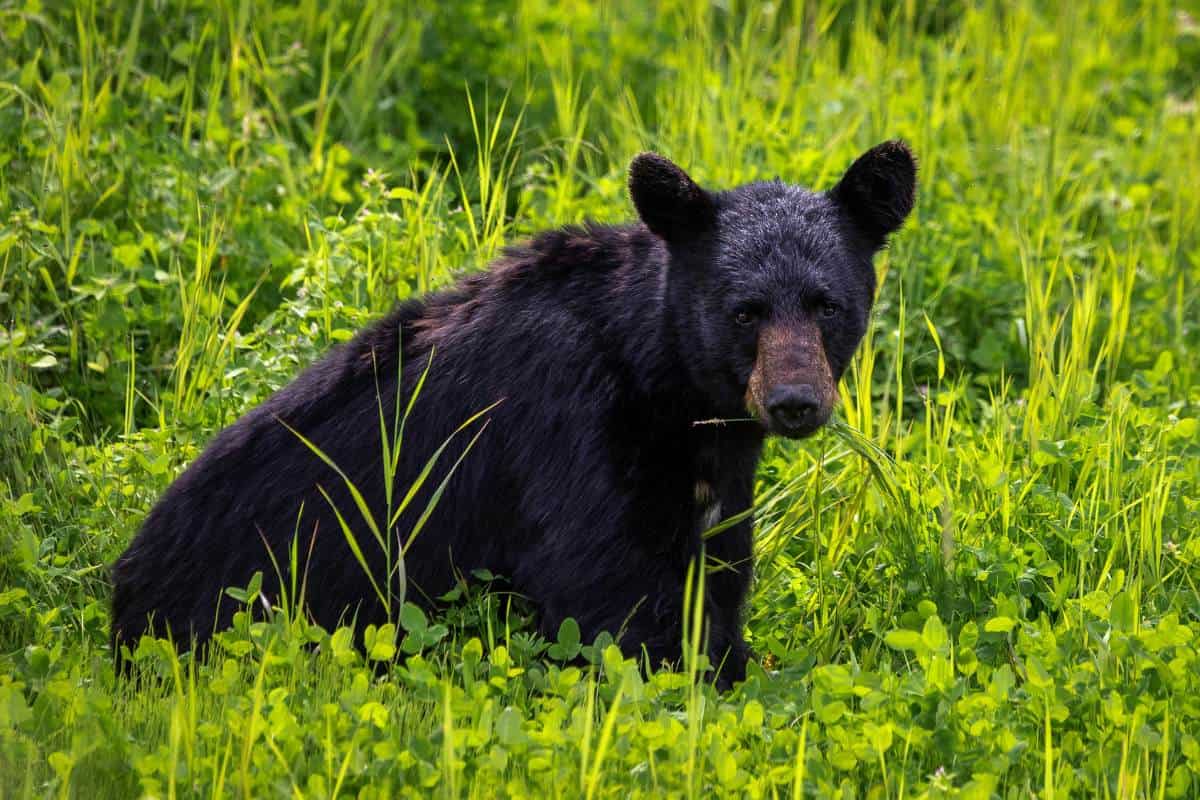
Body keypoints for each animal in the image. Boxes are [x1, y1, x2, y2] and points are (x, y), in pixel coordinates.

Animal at [114, 140, 916, 686]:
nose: (794, 402)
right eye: (744, 311)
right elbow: (611, 598)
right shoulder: (573, 430)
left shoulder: (714, 474)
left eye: (827, 304)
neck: (663, 384)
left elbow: (716, 575)